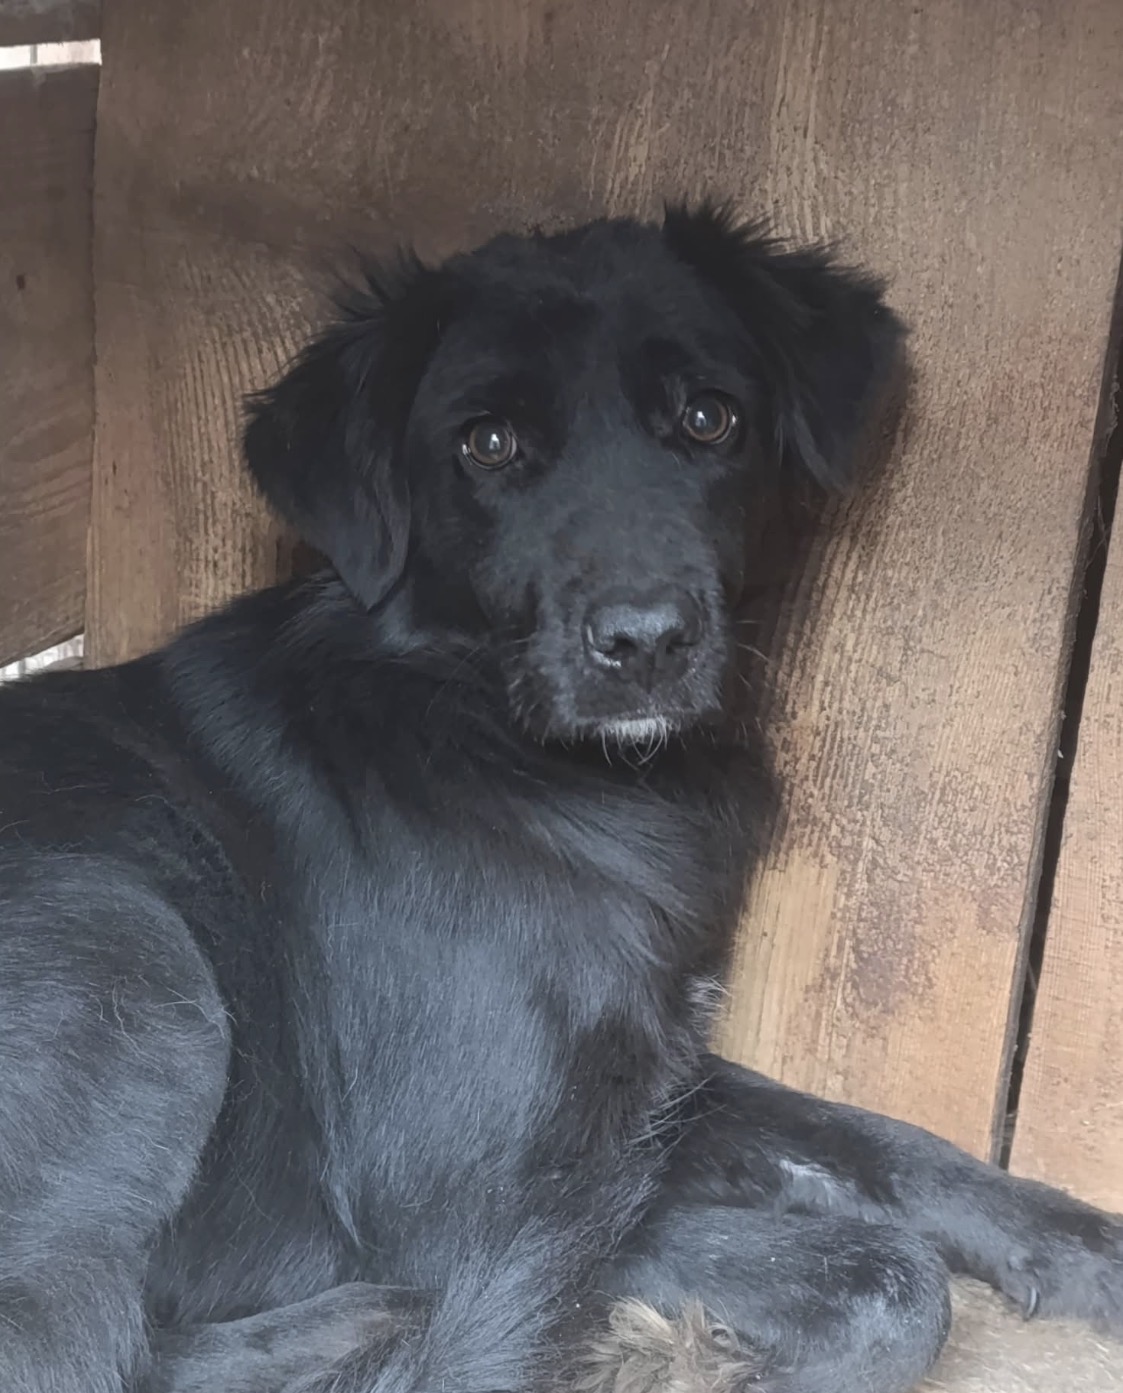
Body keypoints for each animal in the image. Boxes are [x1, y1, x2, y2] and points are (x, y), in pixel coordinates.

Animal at [1, 204, 1120, 1393]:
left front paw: (1077, 1242)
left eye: (709, 418)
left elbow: (875, 1141)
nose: (646, 641)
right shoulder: (465, 1209)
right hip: (129, 948)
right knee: (81, 1352)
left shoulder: (655, 1069)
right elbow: (889, 1275)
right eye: (486, 443)